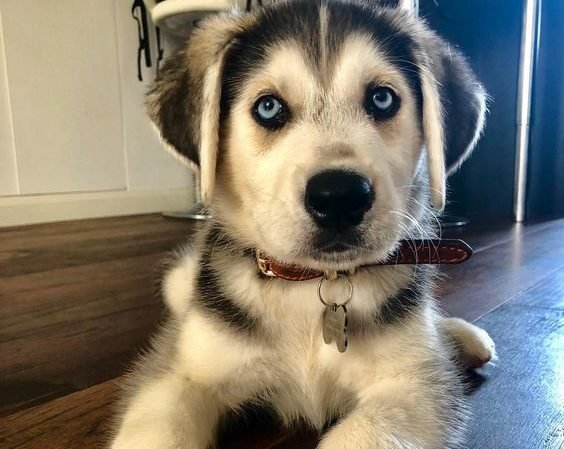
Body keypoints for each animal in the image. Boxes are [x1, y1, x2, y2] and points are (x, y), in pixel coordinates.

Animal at [109, 1, 494, 446]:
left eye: (382, 99)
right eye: (268, 108)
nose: (339, 197)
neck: (313, 285)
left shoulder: (415, 390)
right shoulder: (178, 375)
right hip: (178, 285)